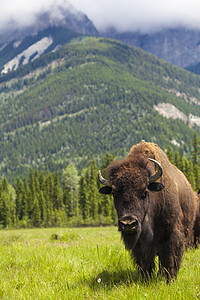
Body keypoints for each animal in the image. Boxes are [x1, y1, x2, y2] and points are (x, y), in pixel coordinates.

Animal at [97, 141, 198, 282]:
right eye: (114, 193)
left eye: (144, 191)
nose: (128, 223)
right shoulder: (140, 243)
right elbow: (145, 261)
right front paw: (146, 279)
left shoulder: (170, 233)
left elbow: (169, 259)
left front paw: (170, 280)